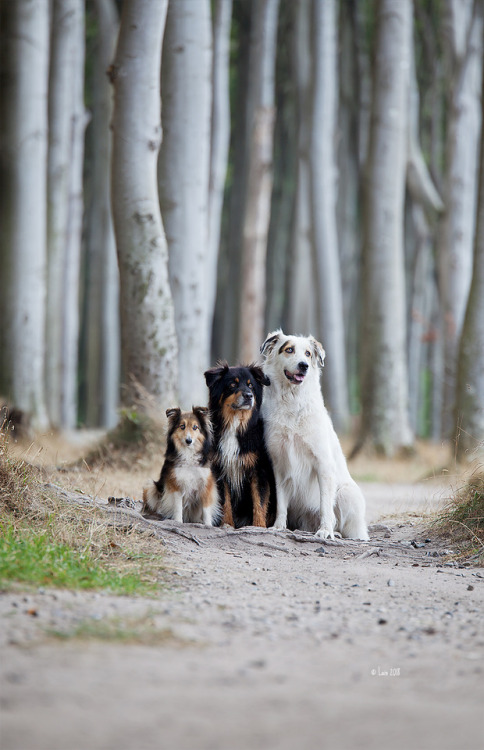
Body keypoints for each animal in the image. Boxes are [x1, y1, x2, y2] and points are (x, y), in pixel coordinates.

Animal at [203, 364, 274, 528]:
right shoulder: (219, 468)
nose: (249, 396)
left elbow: (259, 501)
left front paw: (259, 527)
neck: (235, 425)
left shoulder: (258, 470)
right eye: (232, 385)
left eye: (250, 385)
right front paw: (227, 524)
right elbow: (225, 502)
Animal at [260, 330, 370, 540]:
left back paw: (338, 533)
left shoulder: (323, 464)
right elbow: (281, 503)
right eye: (289, 350)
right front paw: (278, 526)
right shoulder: (280, 464)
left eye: (308, 354)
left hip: (347, 494)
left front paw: (325, 531)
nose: (303, 365)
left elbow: (325, 504)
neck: (292, 400)